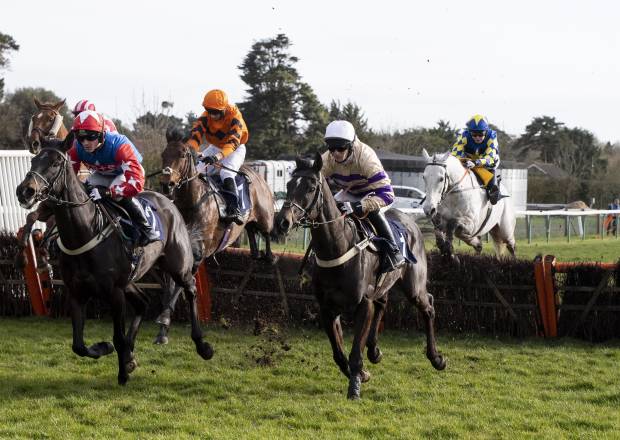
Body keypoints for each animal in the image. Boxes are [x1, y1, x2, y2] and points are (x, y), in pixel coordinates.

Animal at [15, 138, 213, 384]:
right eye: (34, 160)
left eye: (55, 162)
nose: (25, 191)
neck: (87, 230)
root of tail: (168, 200)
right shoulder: (77, 293)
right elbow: (78, 345)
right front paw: (106, 349)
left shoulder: (114, 293)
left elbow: (116, 337)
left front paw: (122, 372)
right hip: (131, 279)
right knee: (143, 302)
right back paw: (130, 354)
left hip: (177, 265)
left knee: (190, 289)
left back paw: (202, 345)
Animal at [154, 127, 274, 344]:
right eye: (163, 154)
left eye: (182, 154)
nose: (167, 185)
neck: (191, 203)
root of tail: (255, 174)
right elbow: (170, 285)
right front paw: (162, 331)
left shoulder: (198, 254)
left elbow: (182, 284)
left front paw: (164, 320)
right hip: (249, 224)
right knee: (252, 233)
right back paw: (255, 253)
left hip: (264, 216)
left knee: (267, 232)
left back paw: (269, 257)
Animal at [276, 154, 446, 398]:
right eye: (289, 185)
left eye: (310, 188)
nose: (283, 221)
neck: (337, 247)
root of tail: (410, 221)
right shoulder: (327, 309)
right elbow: (338, 354)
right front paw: (362, 373)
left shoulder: (362, 305)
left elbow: (355, 352)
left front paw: (355, 387)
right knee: (383, 302)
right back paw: (374, 350)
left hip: (414, 285)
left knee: (428, 306)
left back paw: (436, 358)